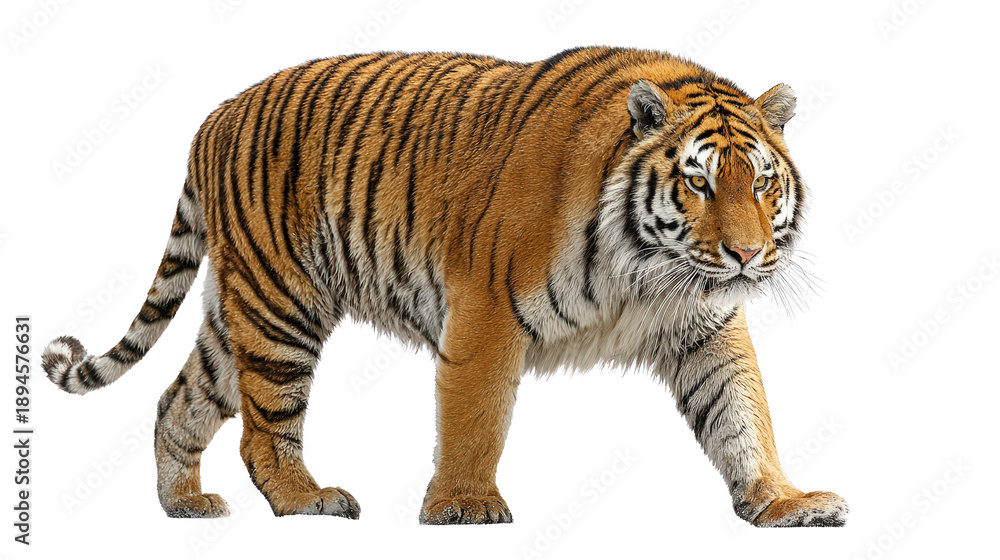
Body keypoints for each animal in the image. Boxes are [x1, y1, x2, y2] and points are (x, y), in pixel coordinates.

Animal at [41, 46, 848, 527]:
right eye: (699, 183)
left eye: (762, 183)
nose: (747, 254)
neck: (649, 271)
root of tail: (213, 117)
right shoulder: (487, 310)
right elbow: (475, 419)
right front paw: (465, 505)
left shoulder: (704, 326)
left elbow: (742, 413)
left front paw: (784, 501)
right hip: (281, 303)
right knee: (264, 426)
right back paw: (308, 500)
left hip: (238, 306)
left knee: (179, 400)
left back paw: (184, 505)